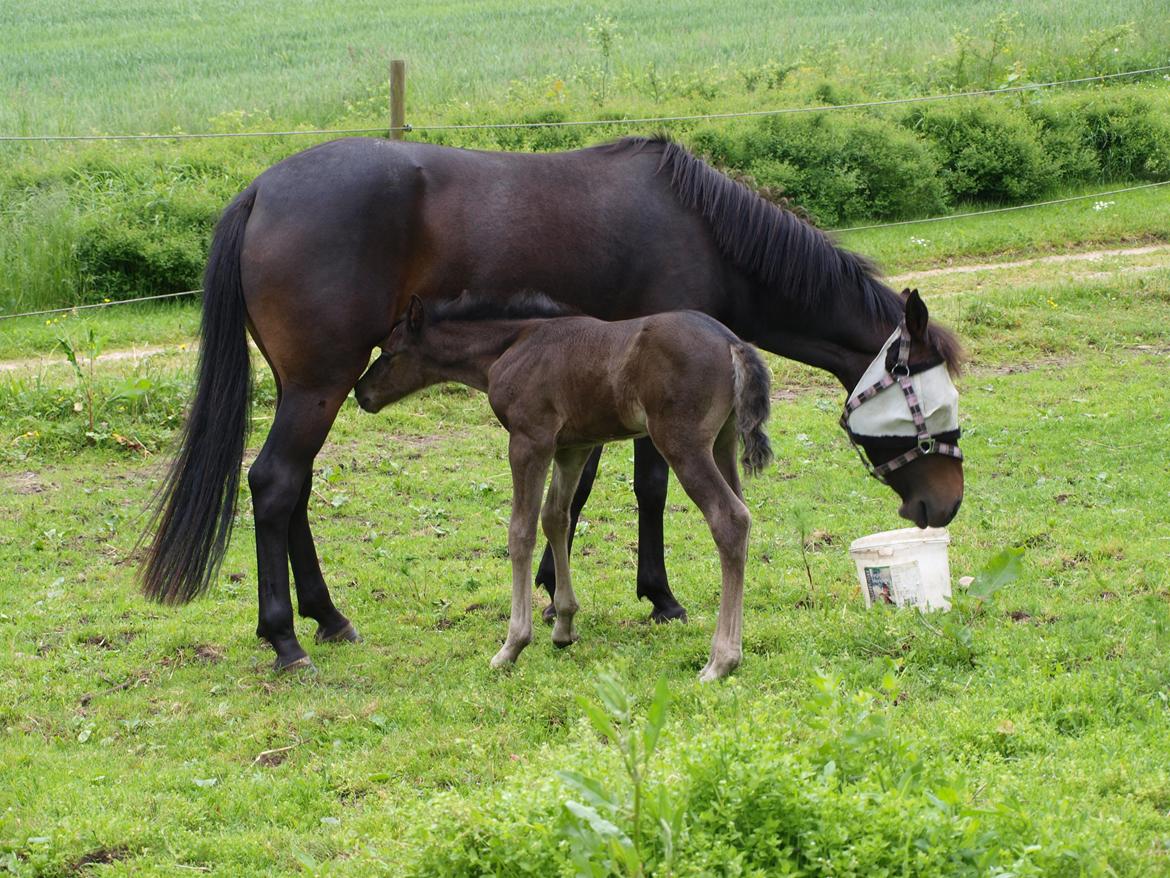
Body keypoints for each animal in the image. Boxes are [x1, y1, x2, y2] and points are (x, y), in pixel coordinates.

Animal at [355, 293, 776, 678]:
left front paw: (512, 645)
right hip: (722, 443)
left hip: (681, 442)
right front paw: (564, 625)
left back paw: (721, 661)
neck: (512, 345)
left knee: (729, 518)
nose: (361, 393)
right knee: (741, 520)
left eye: (389, 352)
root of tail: (732, 342)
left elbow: (520, 532)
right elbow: (555, 517)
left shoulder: (530, 440)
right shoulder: (573, 448)